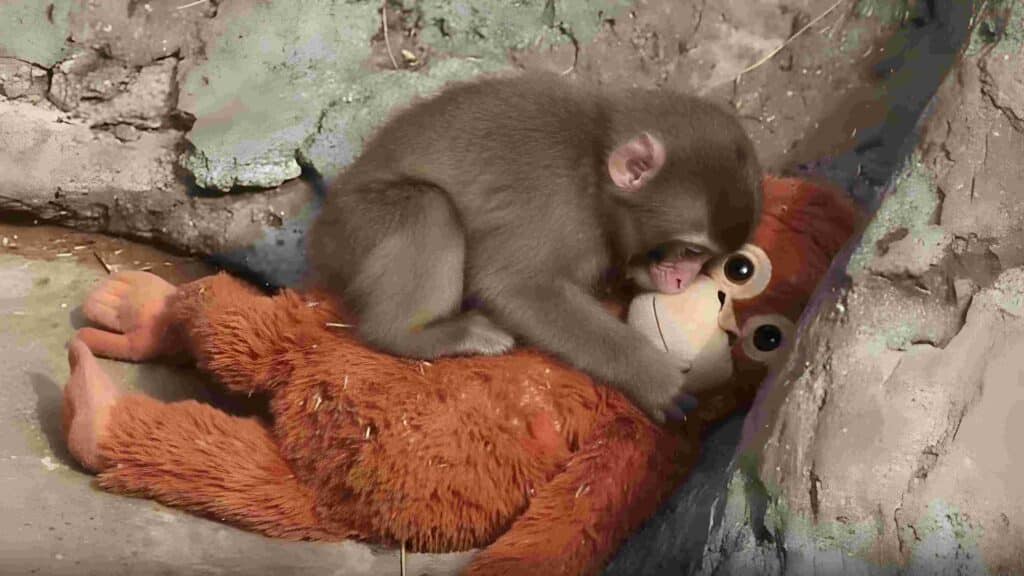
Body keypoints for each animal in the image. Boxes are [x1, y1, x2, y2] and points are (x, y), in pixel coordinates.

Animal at [307, 72, 762, 422]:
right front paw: (653, 378)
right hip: (356, 227)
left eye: (708, 258)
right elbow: (514, 285)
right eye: (690, 250)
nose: (684, 278)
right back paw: (412, 334)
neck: (594, 169)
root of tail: (321, 236)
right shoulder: (555, 206)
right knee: (429, 209)